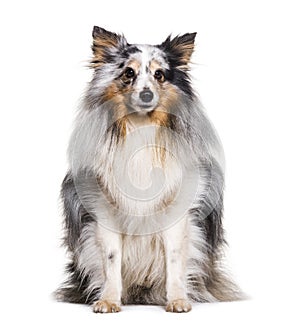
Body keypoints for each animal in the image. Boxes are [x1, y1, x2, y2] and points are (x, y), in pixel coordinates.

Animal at [55, 26, 244, 314]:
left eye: (159, 75)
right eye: (128, 73)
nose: (146, 95)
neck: (140, 128)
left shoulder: (178, 212)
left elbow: (175, 258)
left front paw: (177, 300)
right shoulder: (104, 210)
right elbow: (111, 259)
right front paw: (109, 300)